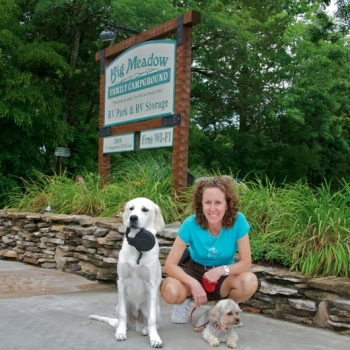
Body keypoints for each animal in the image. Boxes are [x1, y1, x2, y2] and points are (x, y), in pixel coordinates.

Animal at [89, 197, 165, 348]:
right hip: (121, 305)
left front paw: (155, 339)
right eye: (131, 208)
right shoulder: (122, 282)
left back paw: (146, 330)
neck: (138, 246)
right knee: (121, 318)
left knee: (156, 322)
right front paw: (120, 333)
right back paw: (122, 328)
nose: (133, 218)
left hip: (148, 306)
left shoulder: (152, 285)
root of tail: (136, 324)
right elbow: (122, 315)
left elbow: (152, 320)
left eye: (145, 209)